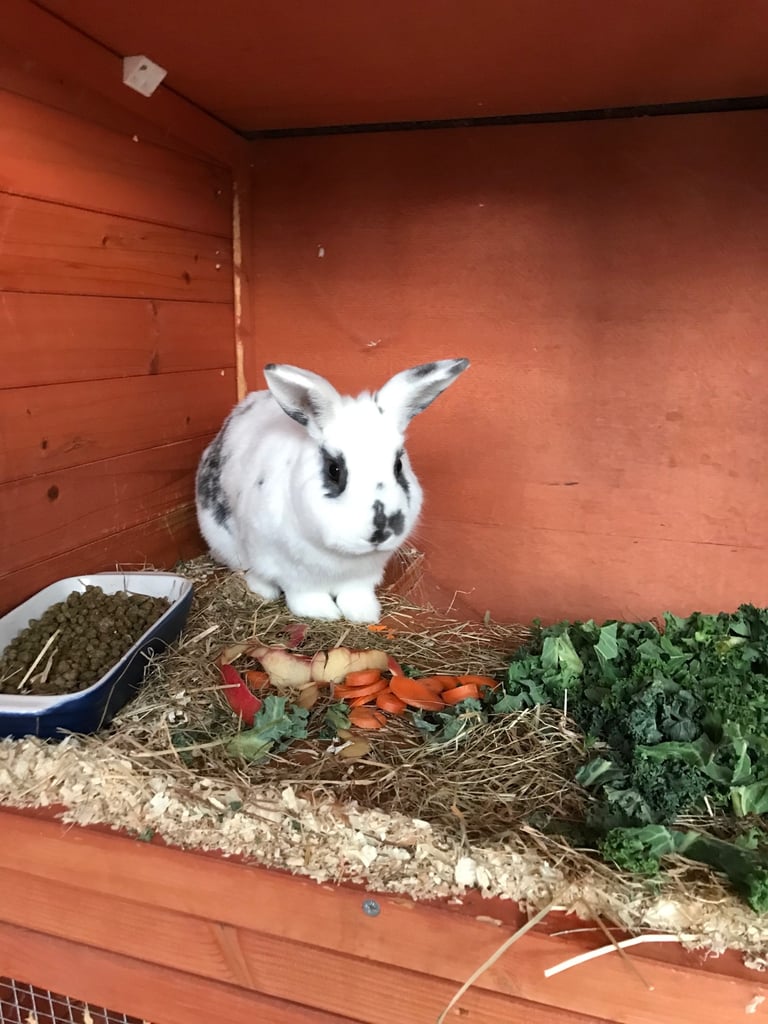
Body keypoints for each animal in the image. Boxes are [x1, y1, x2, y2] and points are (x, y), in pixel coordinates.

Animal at [195, 358, 470, 622]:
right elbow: (304, 595)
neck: (342, 557)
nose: (381, 532)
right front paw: (322, 613)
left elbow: (356, 595)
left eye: (398, 465)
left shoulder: (363, 576)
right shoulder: (290, 571)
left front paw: (364, 614)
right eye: (333, 469)